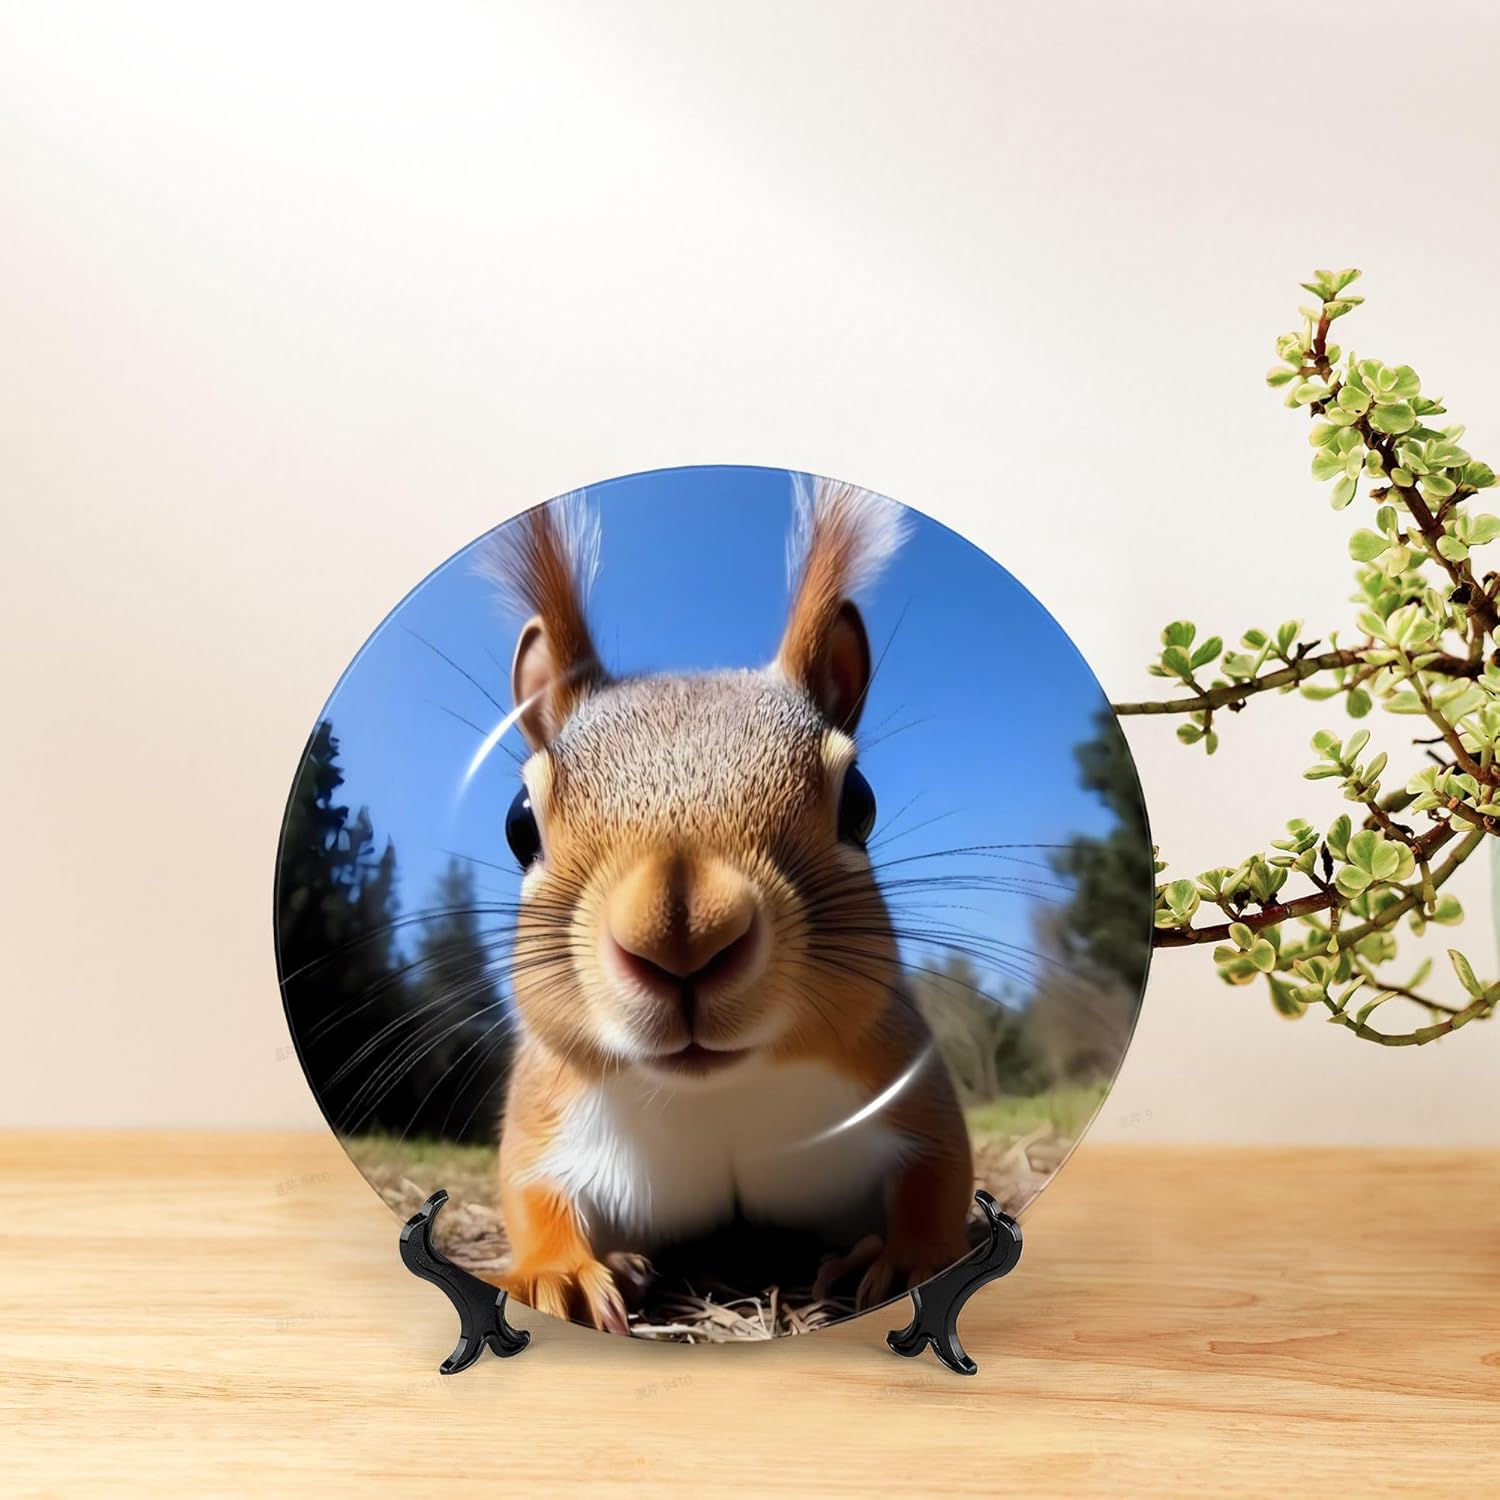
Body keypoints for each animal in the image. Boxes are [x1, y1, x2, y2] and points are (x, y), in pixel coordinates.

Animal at [481, 478, 973, 1332]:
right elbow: (528, 1186)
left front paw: (912, 1256)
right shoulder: (547, 1108)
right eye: (518, 825)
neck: (715, 1096)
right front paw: (559, 1273)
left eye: (861, 804)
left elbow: (942, 1168)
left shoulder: (905, 1076)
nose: (681, 936)